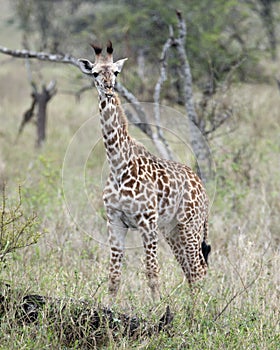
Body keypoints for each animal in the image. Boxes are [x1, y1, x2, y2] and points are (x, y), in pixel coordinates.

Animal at [77, 41, 211, 300]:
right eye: (95, 73)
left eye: (116, 72)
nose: (108, 89)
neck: (118, 165)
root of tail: (203, 189)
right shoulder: (115, 221)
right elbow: (113, 276)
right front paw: (109, 306)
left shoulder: (147, 222)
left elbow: (152, 272)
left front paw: (158, 307)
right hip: (172, 230)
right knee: (191, 272)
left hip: (190, 226)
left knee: (199, 270)